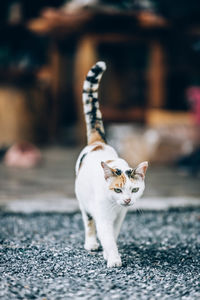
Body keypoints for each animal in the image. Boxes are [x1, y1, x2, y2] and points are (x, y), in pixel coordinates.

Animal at [74, 61, 148, 268]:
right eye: (117, 190)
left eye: (134, 190)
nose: (128, 200)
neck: (115, 206)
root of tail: (98, 143)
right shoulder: (103, 217)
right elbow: (105, 236)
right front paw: (114, 259)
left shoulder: (119, 217)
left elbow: (113, 236)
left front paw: (108, 254)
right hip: (83, 201)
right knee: (88, 222)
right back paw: (91, 243)